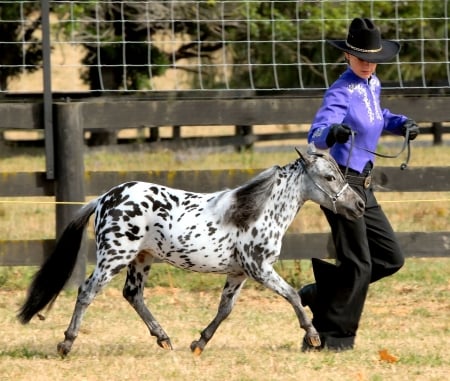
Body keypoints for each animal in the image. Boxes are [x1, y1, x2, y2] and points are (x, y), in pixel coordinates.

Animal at [17, 145, 364, 356]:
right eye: (329, 176)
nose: (359, 205)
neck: (256, 211)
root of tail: (103, 199)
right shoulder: (259, 267)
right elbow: (292, 295)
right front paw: (313, 336)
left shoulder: (238, 273)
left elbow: (225, 310)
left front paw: (199, 343)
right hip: (114, 257)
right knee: (87, 291)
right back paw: (66, 343)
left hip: (141, 259)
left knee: (133, 295)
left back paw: (164, 338)